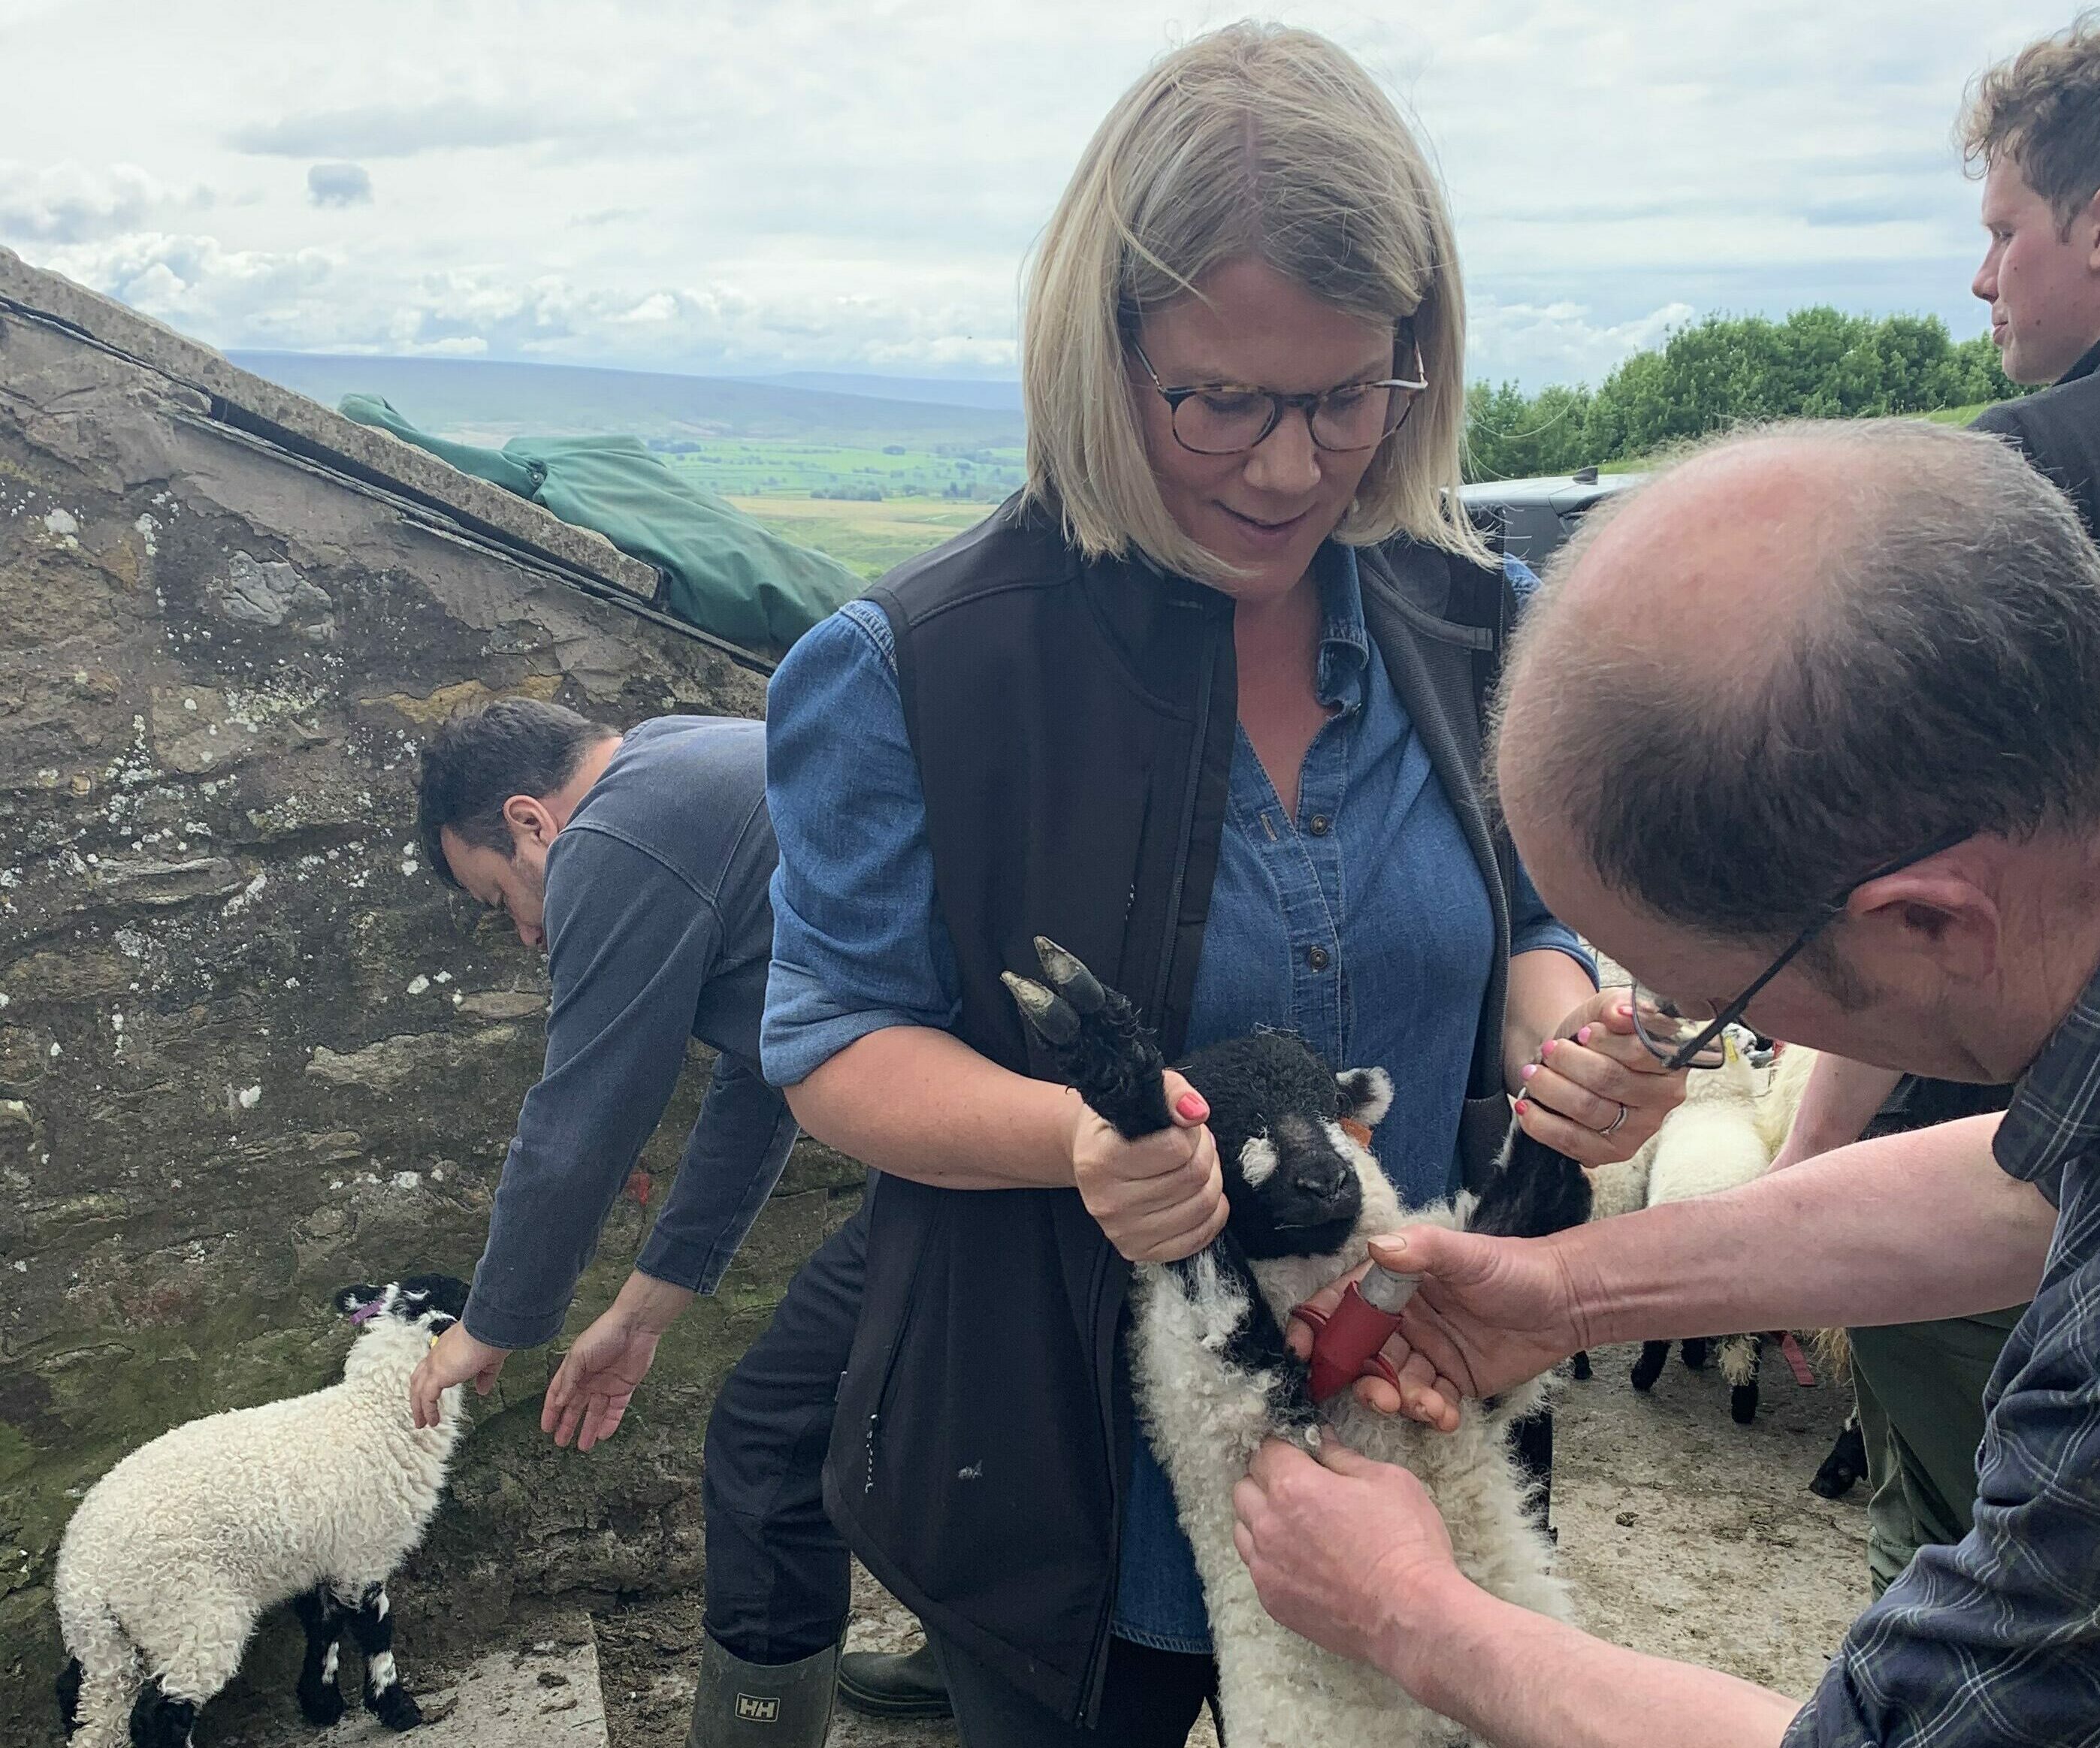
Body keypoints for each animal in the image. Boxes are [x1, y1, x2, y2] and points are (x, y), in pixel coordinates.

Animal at [53, 1267, 472, 1746]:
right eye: (461, 1296)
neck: (376, 1414)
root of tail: (82, 1578)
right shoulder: (363, 1553)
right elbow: (375, 1631)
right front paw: (396, 1708)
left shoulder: (319, 1555)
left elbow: (322, 1625)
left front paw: (321, 1703)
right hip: (190, 1613)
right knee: (161, 1711)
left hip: (108, 1639)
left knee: (83, 1697)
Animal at [1004, 940, 1588, 1746]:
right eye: (1223, 1129)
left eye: (1323, 1103)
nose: (1325, 1182)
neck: (1310, 1267)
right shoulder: (1223, 1402)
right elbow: (1211, 1285)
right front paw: (1114, 1067)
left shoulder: (1478, 1377)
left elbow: (1533, 1216)